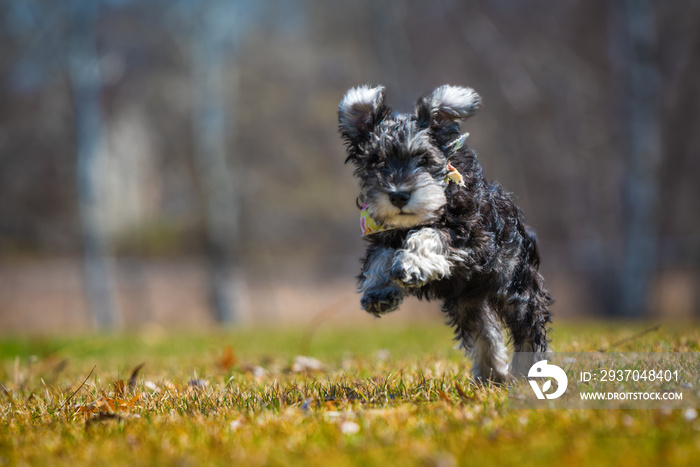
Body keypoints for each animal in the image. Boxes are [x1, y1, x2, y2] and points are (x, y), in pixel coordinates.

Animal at [340, 85, 552, 384]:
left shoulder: (474, 238)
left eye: (424, 159)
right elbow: (379, 257)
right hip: (467, 302)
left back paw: (526, 377)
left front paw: (412, 264)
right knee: (485, 334)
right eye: (376, 161)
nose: (399, 195)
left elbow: (431, 235)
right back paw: (491, 375)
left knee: (529, 333)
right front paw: (379, 291)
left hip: (517, 290)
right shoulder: (383, 234)